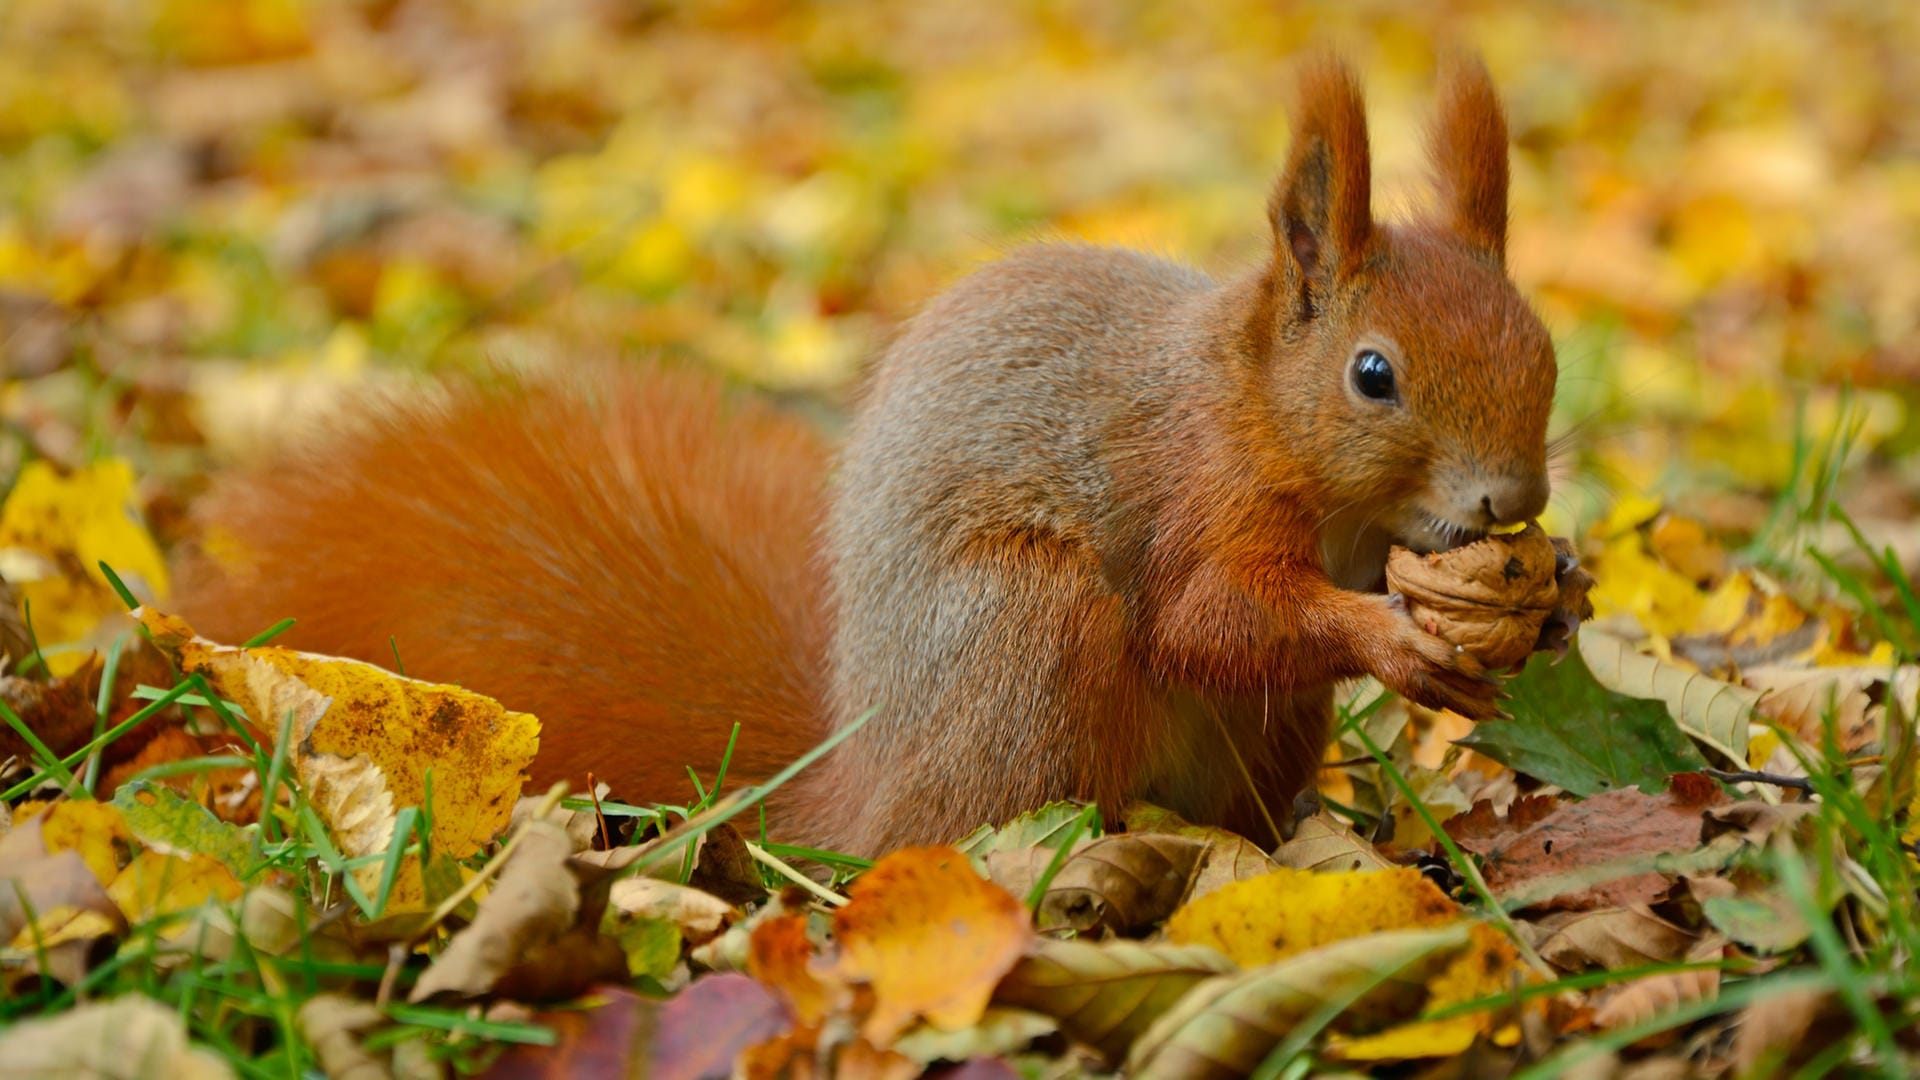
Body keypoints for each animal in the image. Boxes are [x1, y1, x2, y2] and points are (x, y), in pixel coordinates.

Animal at [176, 58, 1559, 853]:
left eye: (1543, 346)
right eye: (1373, 375)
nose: (1513, 498)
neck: (1257, 405)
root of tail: (858, 787)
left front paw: (1550, 600)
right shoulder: (1191, 488)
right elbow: (1207, 619)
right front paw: (1393, 637)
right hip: (1026, 628)